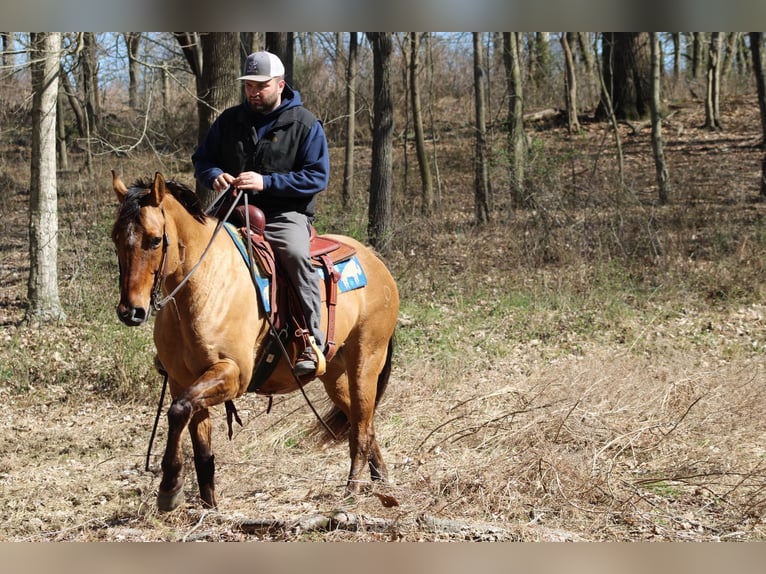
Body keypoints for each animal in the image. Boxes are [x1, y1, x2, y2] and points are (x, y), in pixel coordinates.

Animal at [114, 172, 404, 512]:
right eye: (115, 238)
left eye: (155, 239)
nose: (131, 311)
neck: (203, 285)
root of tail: (375, 260)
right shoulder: (182, 379)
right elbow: (196, 438)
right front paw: (208, 506)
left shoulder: (233, 374)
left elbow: (177, 411)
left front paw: (170, 486)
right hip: (335, 375)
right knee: (365, 422)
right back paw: (381, 481)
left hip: (366, 361)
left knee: (359, 427)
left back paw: (352, 492)